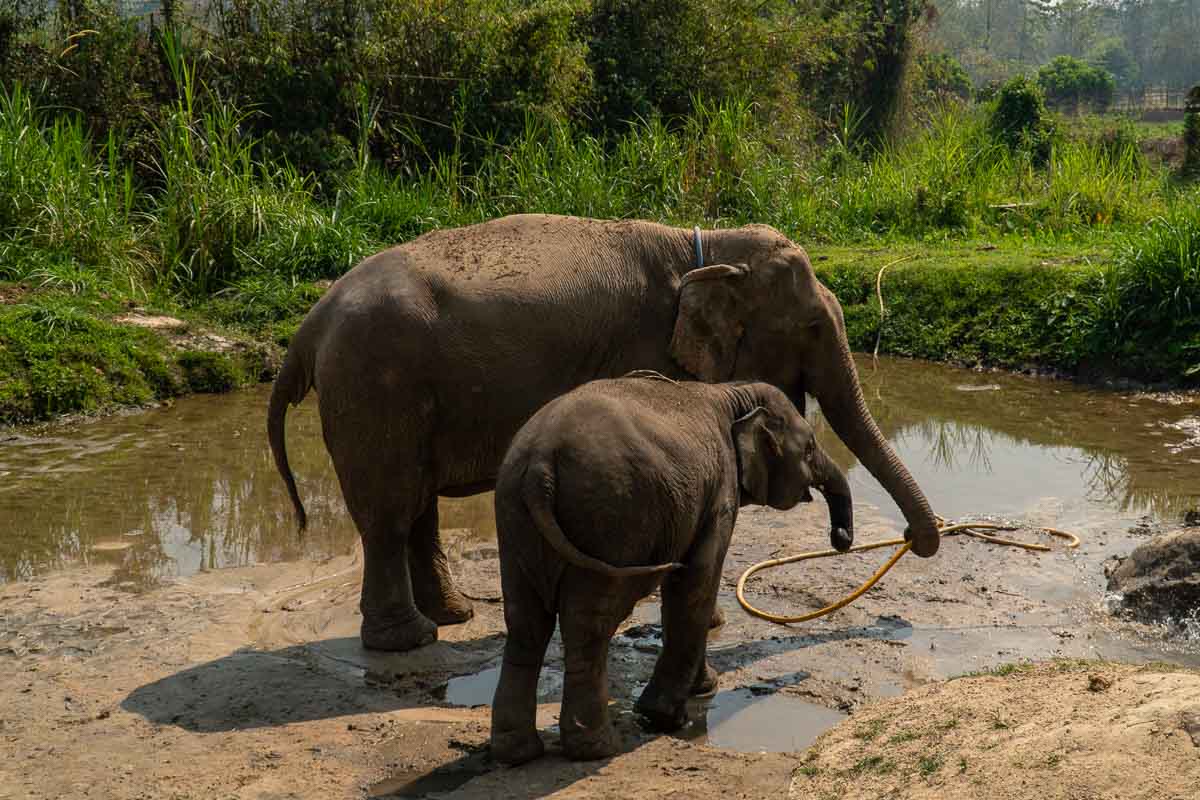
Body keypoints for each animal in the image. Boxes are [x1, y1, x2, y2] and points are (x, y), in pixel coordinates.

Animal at [267, 215, 940, 652]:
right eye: (812, 328)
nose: (903, 539)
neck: (704, 247)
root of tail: (310, 324)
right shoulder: (647, 352)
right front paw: (706, 624)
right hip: (375, 385)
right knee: (390, 509)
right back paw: (408, 641)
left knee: (416, 506)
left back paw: (453, 617)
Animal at [489, 376, 854, 762]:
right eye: (809, 449)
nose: (841, 538)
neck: (733, 393)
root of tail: (540, 465)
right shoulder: (720, 495)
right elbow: (698, 581)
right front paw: (669, 716)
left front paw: (701, 689)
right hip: (611, 518)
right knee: (589, 625)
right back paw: (598, 749)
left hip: (515, 515)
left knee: (525, 622)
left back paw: (517, 753)